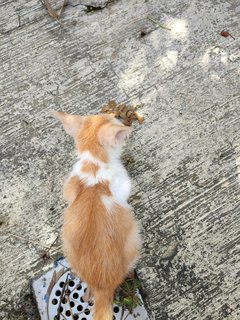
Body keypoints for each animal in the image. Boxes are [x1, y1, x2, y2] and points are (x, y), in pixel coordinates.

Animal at [54, 111, 141, 318]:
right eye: (114, 118)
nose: (113, 112)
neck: (94, 163)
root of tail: (103, 288)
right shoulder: (123, 188)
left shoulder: (69, 188)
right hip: (134, 238)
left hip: (69, 248)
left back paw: (88, 294)